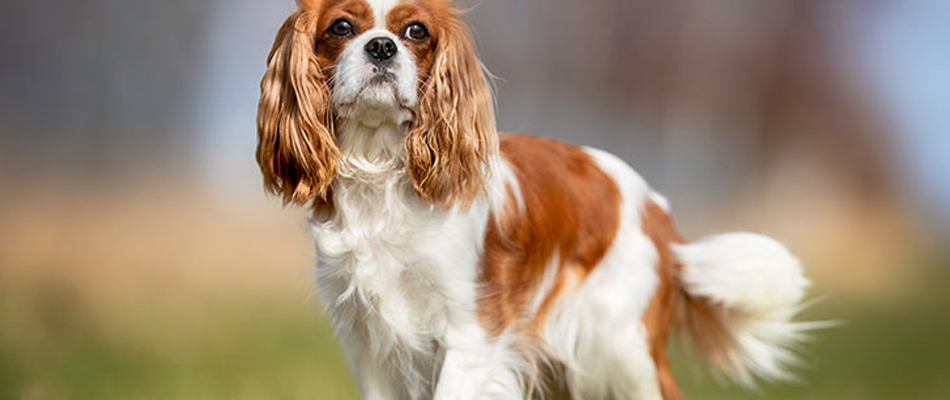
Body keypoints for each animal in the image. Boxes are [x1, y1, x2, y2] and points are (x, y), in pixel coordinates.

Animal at [255, 1, 820, 398]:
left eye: (416, 32)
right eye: (341, 27)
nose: (380, 47)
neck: (382, 174)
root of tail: (655, 205)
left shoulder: (473, 332)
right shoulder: (371, 346)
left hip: (621, 351)